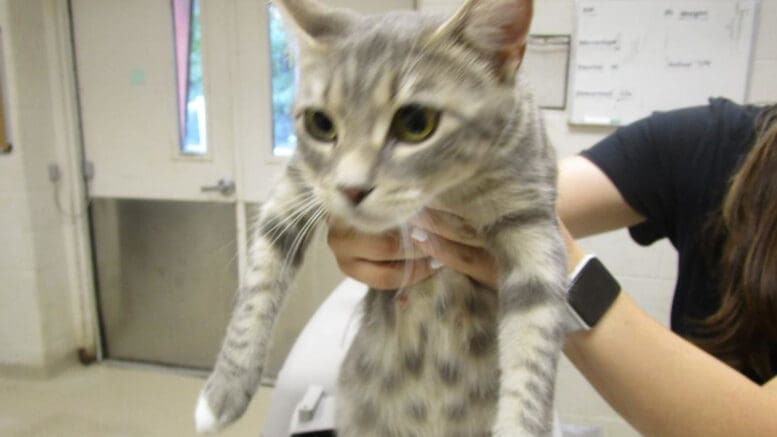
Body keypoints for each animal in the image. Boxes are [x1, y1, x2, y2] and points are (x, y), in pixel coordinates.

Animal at [197, 0, 568, 434]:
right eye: (320, 123)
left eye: (416, 123)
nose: (351, 189)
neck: (444, 196)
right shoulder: (298, 186)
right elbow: (257, 285)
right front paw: (222, 392)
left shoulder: (532, 220)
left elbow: (533, 350)